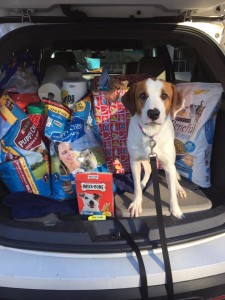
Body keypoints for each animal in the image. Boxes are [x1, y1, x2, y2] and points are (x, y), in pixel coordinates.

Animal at [122, 77, 187, 218]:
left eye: (164, 96)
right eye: (142, 96)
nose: (153, 113)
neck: (151, 134)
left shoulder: (168, 164)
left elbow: (172, 192)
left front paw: (175, 209)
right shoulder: (134, 162)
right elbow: (136, 187)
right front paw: (137, 203)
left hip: (171, 159)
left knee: (173, 172)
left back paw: (179, 188)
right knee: (147, 169)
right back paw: (143, 183)